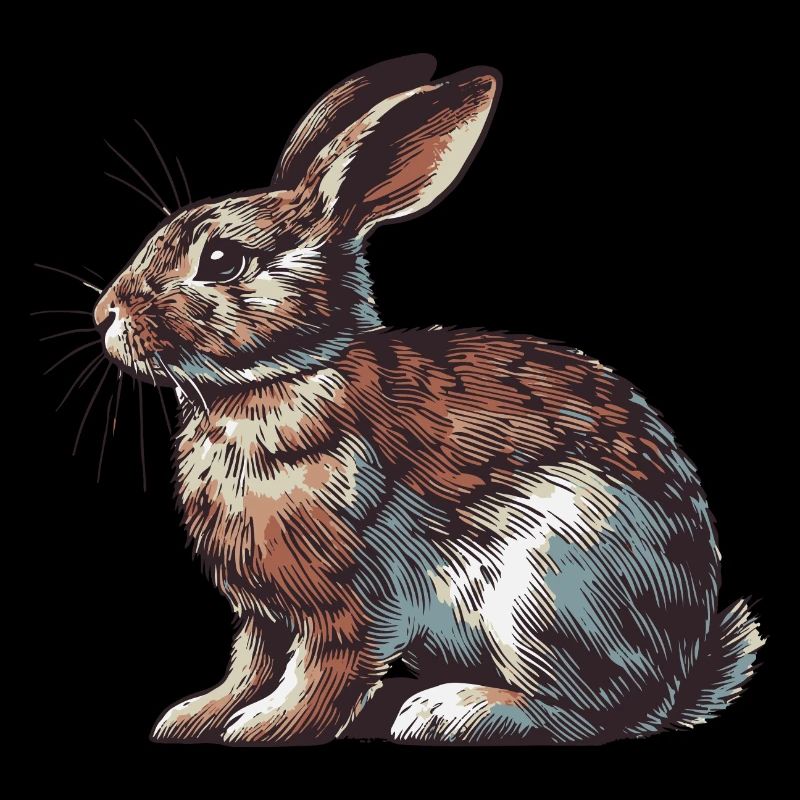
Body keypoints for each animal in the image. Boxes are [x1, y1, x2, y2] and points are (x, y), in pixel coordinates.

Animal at [92, 54, 762, 746]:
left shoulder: (351, 598)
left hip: (547, 585)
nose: (104, 314)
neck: (277, 380)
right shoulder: (262, 611)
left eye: (223, 260)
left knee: (588, 713)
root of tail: (681, 678)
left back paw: (446, 711)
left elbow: (324, 673)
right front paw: (193, 717)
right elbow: (251, 664)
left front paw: (267, 728)